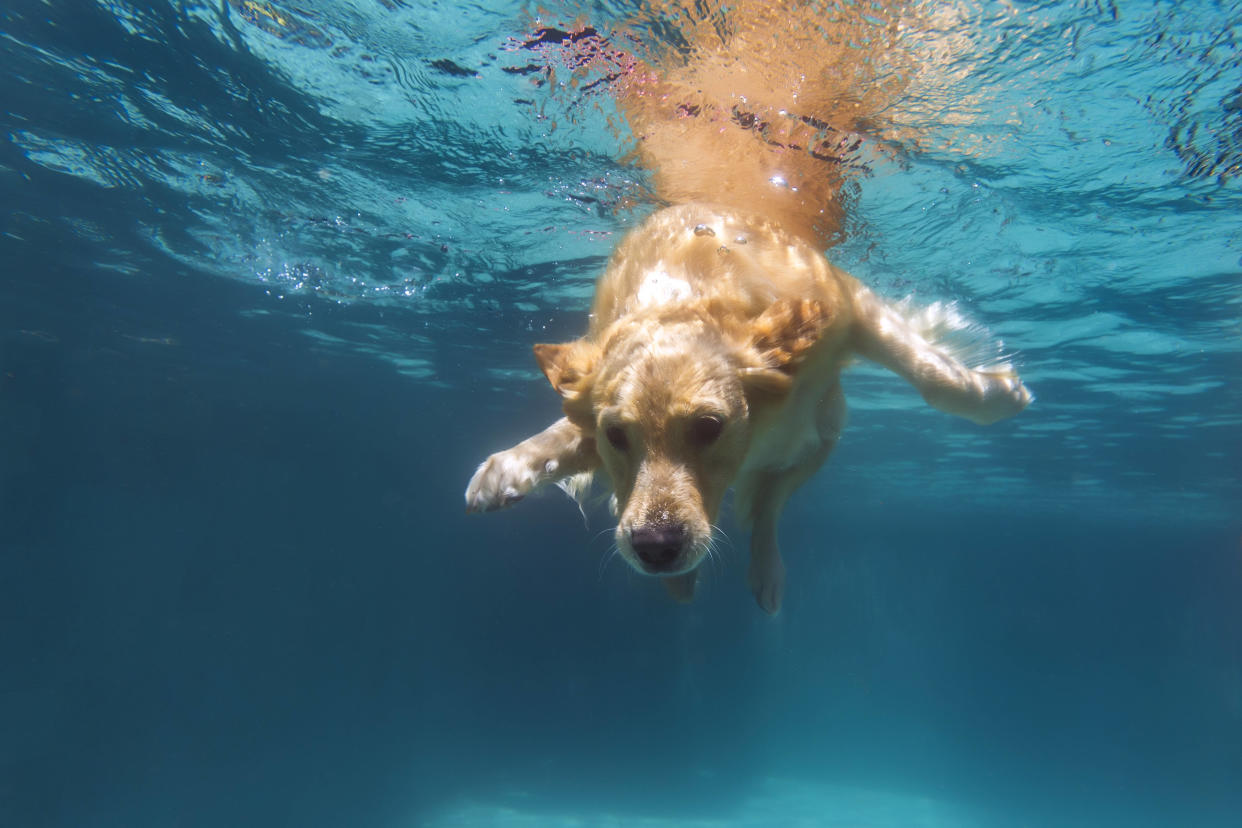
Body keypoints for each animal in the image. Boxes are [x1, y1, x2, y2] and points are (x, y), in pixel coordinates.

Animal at [464, 3, 1028, 613]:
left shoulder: (843, 303)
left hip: (821, 437)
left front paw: (997, 394)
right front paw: (507, 468)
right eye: (618, 435)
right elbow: (575, 431)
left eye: (709, 426)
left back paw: (762, 571)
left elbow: (928, 373)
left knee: (770, 505)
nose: (656, 547)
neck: (684, 292)